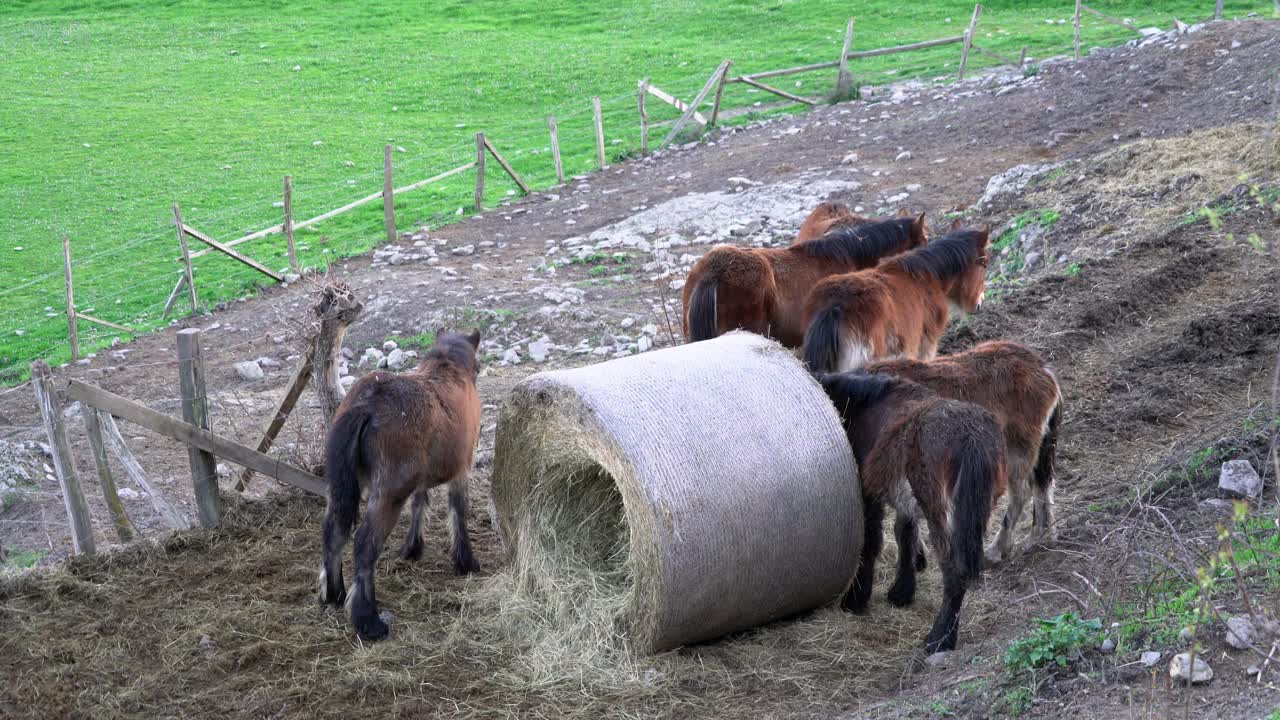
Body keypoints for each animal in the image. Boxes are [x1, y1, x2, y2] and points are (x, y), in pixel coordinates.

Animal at [317, 327, 481, 635]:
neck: (449, 371)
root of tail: (367, 404)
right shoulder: (461, 472)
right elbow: (458, 512)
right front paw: (465, 561)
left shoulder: (421, 481)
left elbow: (420, 505)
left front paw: (413, 548)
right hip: (388, 495)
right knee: (364, 544)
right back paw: (368, 620)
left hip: (342, 488)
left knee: (333, 533)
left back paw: (334, 595)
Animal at [819, 366, 1008, 653]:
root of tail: (971, 439)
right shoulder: (905, 502)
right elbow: (904, 534)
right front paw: (902, 593)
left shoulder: (868, 494)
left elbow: (871, 542)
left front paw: (856, 600)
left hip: (940, 511)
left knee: (954, 571)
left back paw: (939, 640)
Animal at [865, 338, 1064, 563]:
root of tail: (1042, 368)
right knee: (1041, 485)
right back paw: (1040, 538)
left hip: (1018, 448)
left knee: (1022, 493)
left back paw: (997, 549)